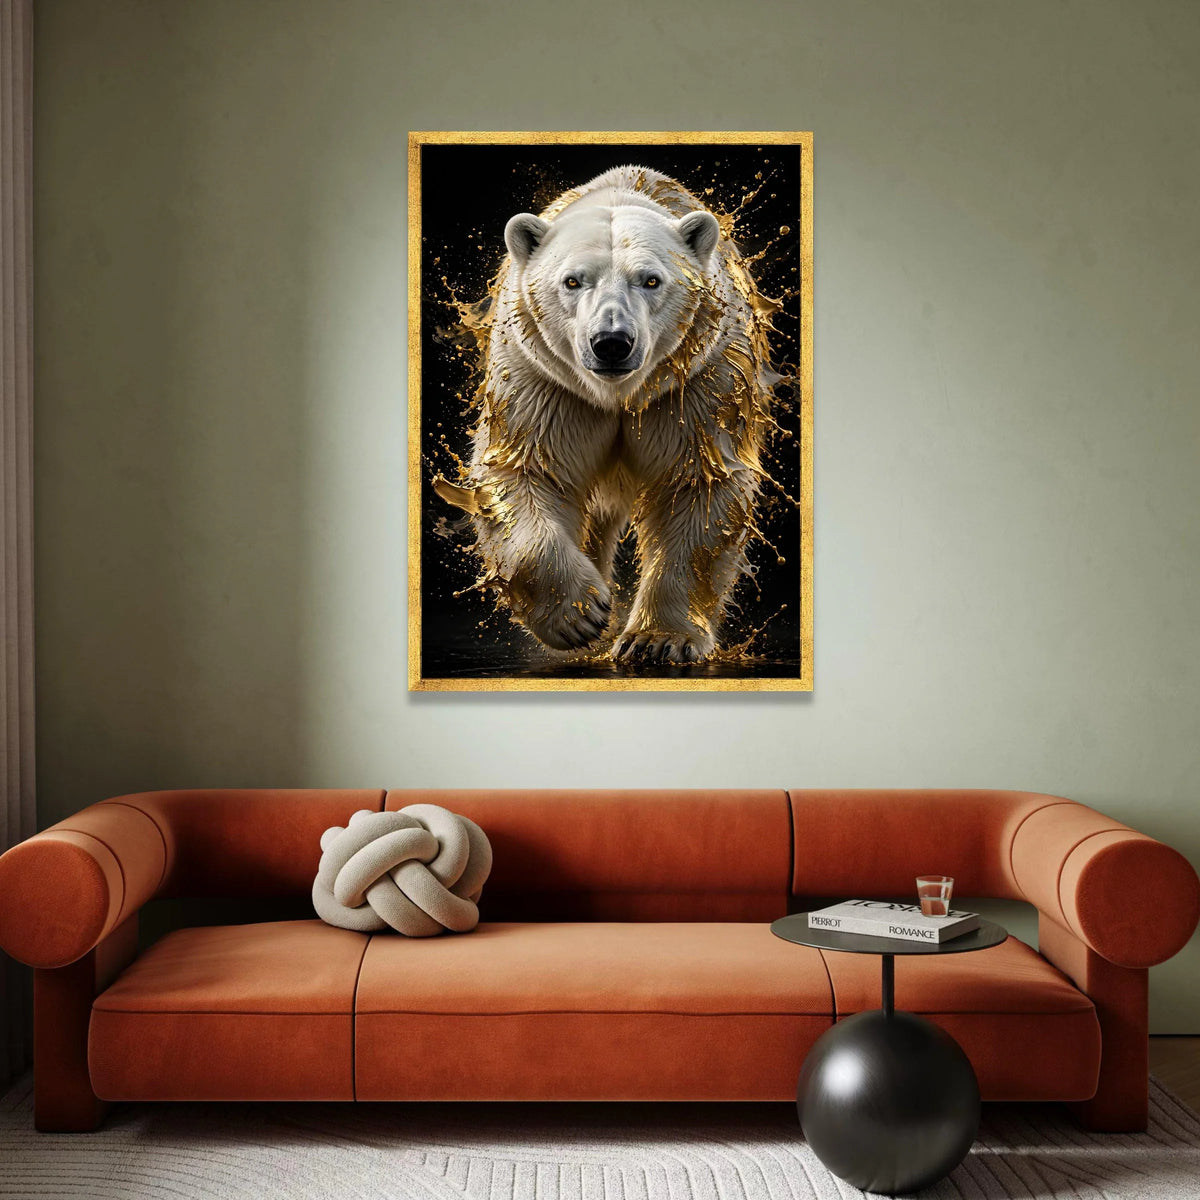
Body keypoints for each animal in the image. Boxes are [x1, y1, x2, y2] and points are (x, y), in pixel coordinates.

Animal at [434, 164, 781, 664]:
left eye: (651, 280)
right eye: (572, 280)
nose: (612, 342)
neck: (616, 395)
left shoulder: (695, 382)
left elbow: (700, 481)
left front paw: (659, 640)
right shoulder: (546, 383)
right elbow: (523, 471)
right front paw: (579, 615)